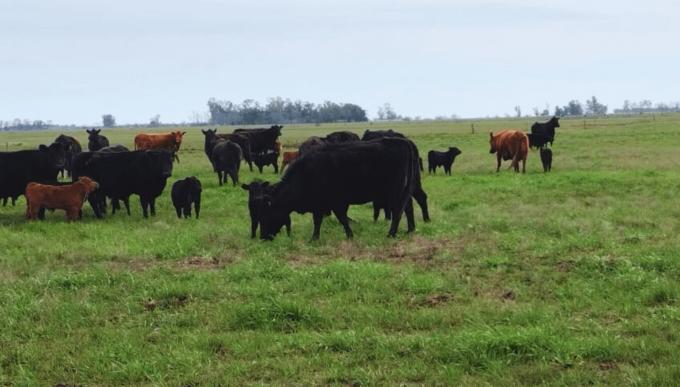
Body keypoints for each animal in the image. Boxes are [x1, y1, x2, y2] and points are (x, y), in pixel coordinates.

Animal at [260, 139, 424, 241]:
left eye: (267, 215)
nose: (262, 237)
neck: (306, 173)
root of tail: (403, 142)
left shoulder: (330, 203)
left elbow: (335, 219)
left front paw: (316, 239)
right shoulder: (326, 204)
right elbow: (332, 219)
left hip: (394, 193)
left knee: (398, 212)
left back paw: (391, 234)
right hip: (403, 192)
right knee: (408, 208)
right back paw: (410, 230)